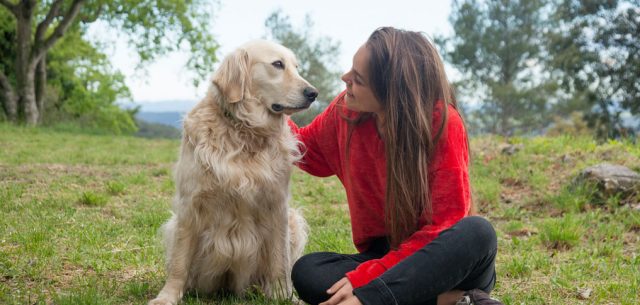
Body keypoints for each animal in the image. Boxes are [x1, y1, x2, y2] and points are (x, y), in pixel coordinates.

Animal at [148, 39, 312, 302]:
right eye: (278, 64)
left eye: (296, 68)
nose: (313, 93)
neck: (244, 131)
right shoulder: (190, 204)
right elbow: (179, 262)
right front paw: (168, 296)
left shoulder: (277, 205)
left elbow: (280, 261)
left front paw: (283, 296)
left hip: (294, 220)